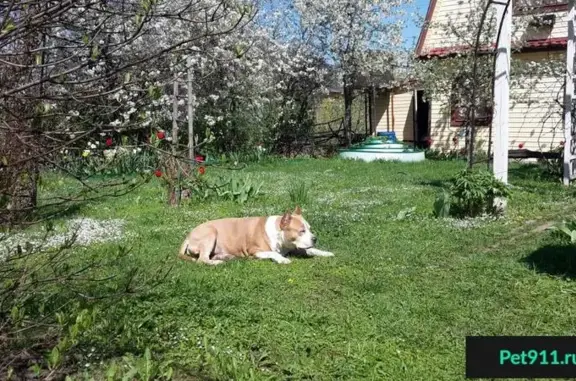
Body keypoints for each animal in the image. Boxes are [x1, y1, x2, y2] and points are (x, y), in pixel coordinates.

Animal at [179, 205, 332, 264]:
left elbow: (310, 250)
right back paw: (217, 262)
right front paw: (282, 259)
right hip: (211, 232)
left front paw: (325, 252)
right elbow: (273, 253)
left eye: (310, 229)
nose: (315, 238)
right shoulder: (255, 251)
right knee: (202, 259)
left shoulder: (294, 247)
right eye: (301, 231)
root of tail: (188, 235)